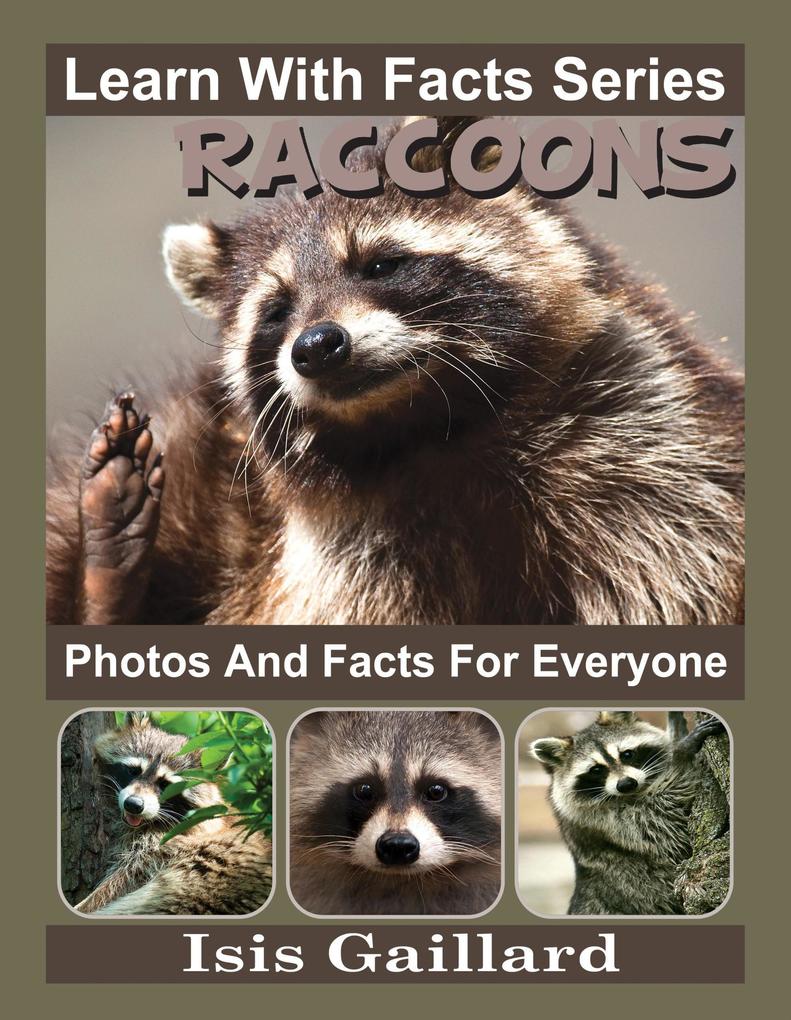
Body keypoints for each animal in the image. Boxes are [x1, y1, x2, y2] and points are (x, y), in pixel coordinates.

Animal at [46, 116, 743, 625]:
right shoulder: (344, 555)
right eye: (276, 312)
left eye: (379, 265)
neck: (429, 430)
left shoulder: (645, 442)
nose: (316, 346)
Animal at [73, 714, 272, 916]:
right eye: (132, 770)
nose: (133, 805)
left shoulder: (168, 846)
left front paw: (85, 905)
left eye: (166, 785)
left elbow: (124, 880)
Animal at [530, 710, 727, 915]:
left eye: (627, 754)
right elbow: (666, 818)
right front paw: (680, 752)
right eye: (596, 769)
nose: (626, 784)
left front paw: (675, 730)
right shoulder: (607, 822)